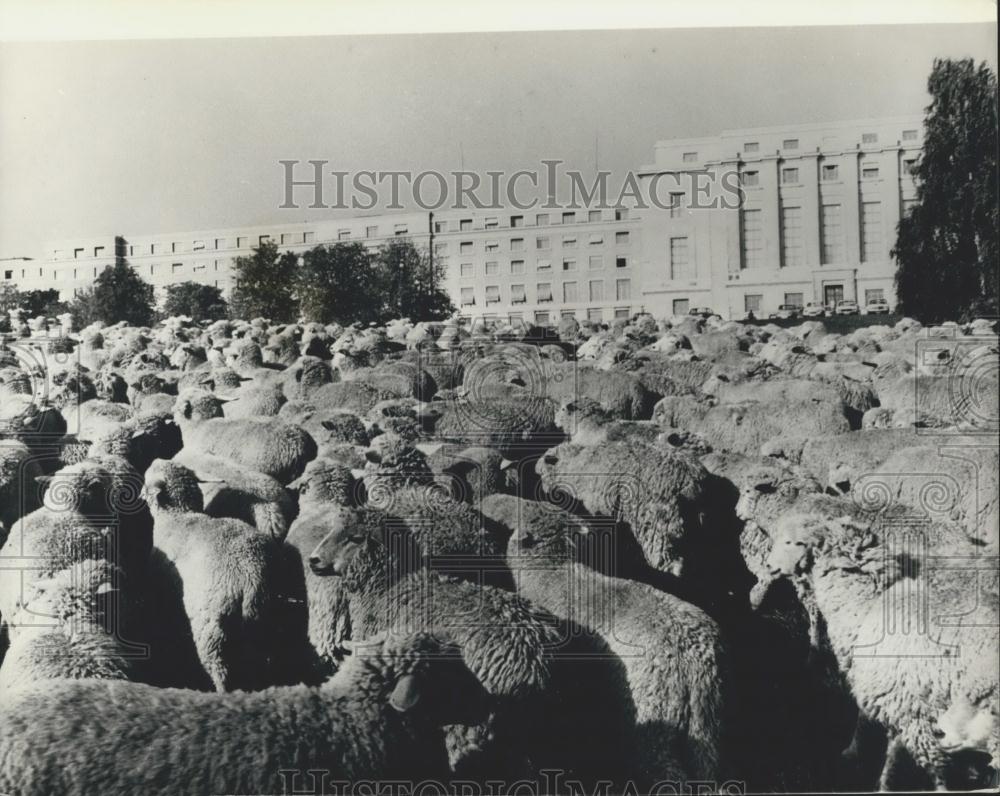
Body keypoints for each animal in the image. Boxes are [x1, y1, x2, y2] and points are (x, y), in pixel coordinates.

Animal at [143, 460, 308, 692]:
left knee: (220, 668)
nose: (155, 460)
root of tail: (252, 578)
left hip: (212, 626)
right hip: (267, 619)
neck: (179, 516)